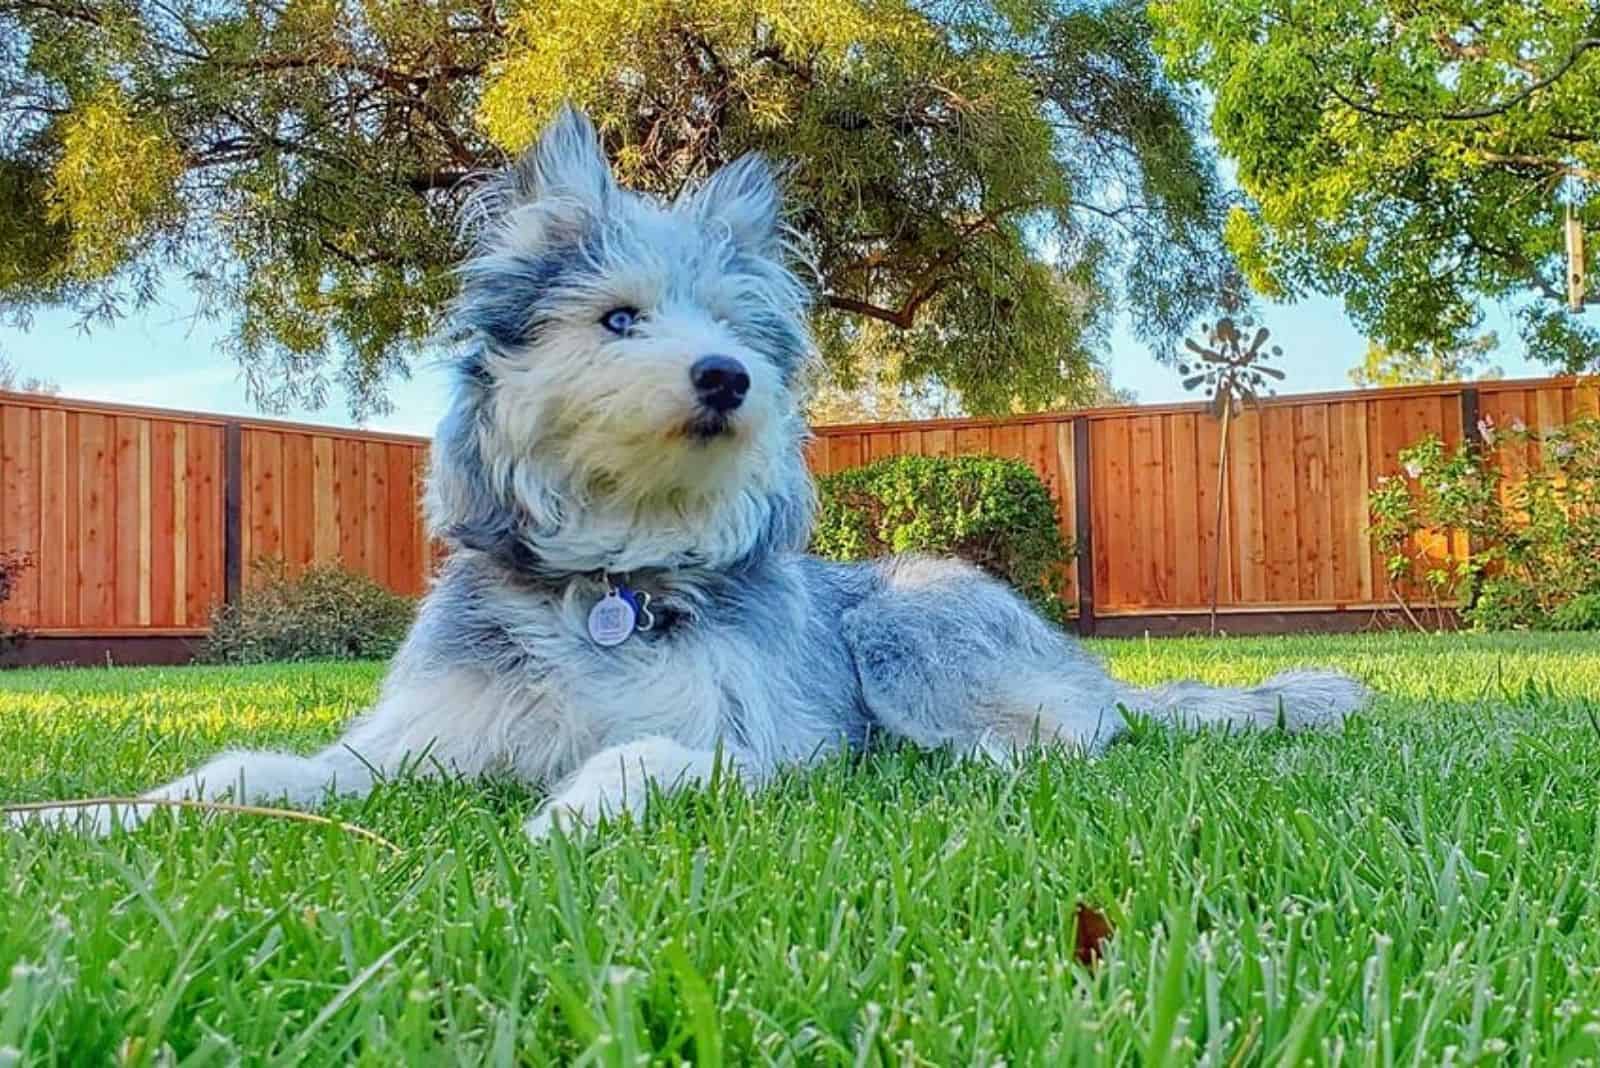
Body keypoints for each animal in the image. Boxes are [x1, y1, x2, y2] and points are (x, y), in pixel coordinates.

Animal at [6, 110, 1369, 844]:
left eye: (736, 326)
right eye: (618, 318)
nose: (727, 377)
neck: (608, 580)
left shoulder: (742, 747)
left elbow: (638, 762)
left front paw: (556, 823)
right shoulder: (397, 752)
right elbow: (246, 775)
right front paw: (78, 819)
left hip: (915, 626)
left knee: (1074, 734)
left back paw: (968, 763)